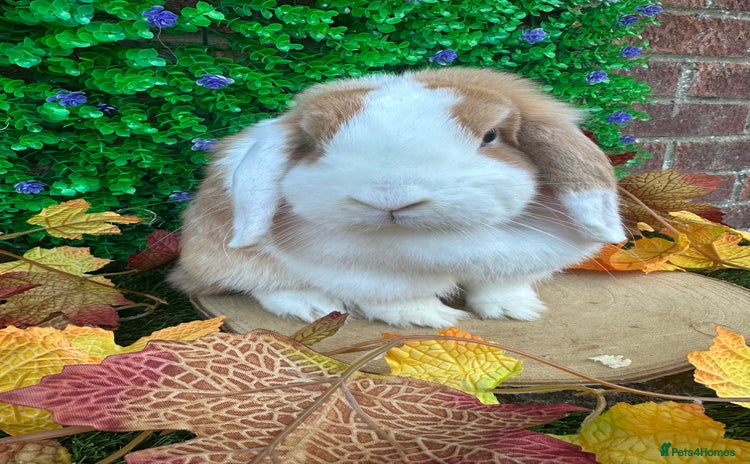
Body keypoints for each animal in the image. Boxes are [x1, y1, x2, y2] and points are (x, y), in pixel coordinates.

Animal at [169, 67, 626, 328]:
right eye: (317, 143)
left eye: (490, 136)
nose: (389, 196)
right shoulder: (375, 278)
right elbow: (401, 299)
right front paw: (433, 318)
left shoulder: (518, 261)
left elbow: (501, 286)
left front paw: (516, 311)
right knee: (259, 283)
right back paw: (311, 306)